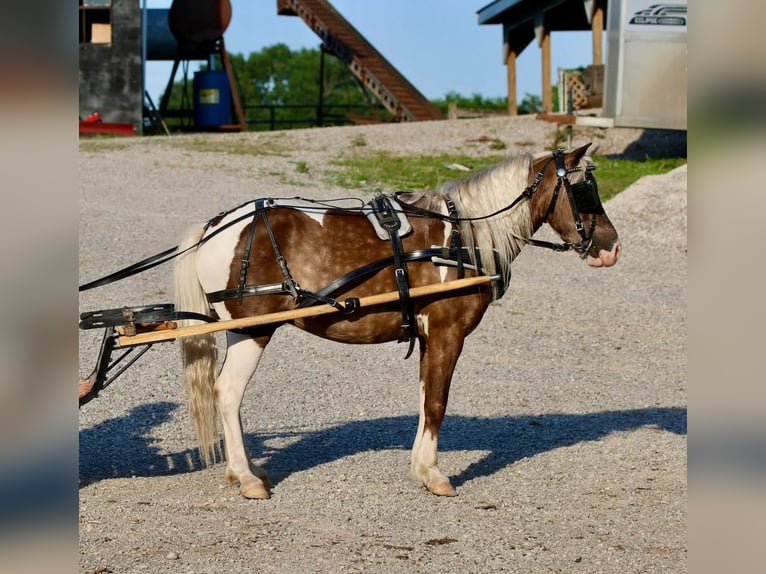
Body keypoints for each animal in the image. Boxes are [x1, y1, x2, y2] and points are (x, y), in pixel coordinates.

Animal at [176, 144, 624, 500]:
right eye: (584, 190)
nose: (613, 247)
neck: (463, 240)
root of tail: (216, 226)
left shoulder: (429, 336)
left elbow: (426, 400)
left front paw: (421, 467)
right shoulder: (447, 333)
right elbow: (438, 402)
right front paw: (434, 474)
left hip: (242, 331)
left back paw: (245, 469)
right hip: (253, 330)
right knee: (228, 393)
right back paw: (247, 478)